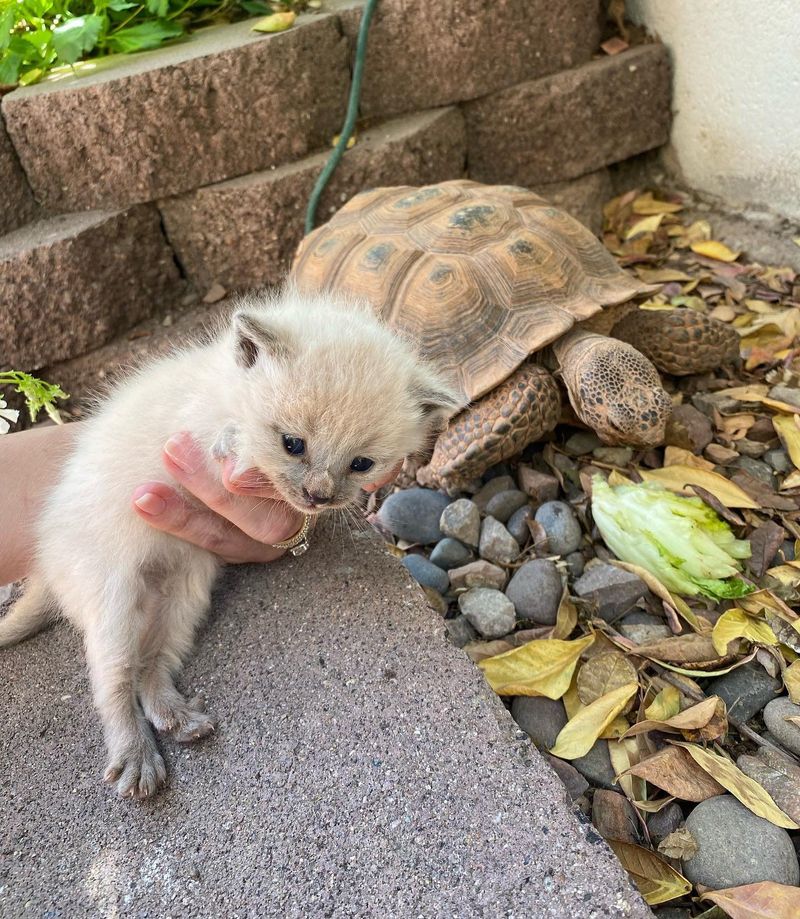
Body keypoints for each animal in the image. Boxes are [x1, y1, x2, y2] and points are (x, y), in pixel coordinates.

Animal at [0, 288, 462, 796]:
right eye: (292, 444)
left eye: (362, 463)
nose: (318, 497)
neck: (225, 390)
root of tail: (46, 558)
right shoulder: (185, 433)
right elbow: (222, 441)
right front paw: (235, 446)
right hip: (113, 597)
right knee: (115, 678)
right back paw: (136, 757)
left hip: (185, 593)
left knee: (151, 667)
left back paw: (176, 716)